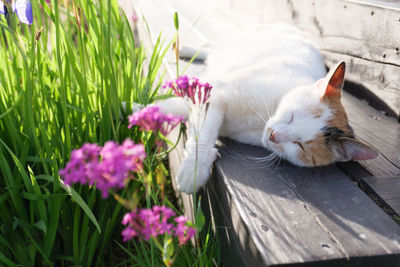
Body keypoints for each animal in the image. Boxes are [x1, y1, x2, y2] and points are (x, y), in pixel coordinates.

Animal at [153, 23, 378, 195]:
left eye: (300, 145)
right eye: (292, 116)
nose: (274, 135)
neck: (259, 121)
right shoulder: (216, 93)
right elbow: (202, 133)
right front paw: (193, 168)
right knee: (215, 49)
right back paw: (186, 48)